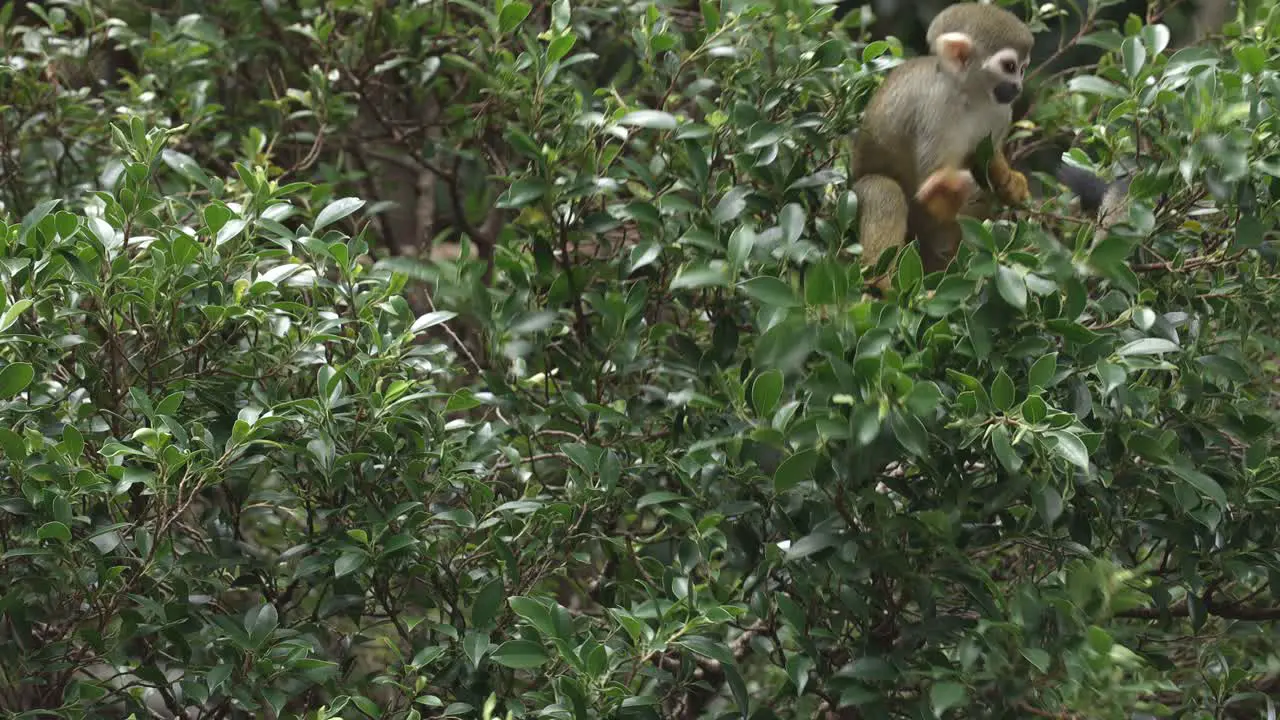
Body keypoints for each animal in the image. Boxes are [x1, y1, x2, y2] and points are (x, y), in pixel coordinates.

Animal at [855, 3, 1034, 288]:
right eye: (1009, 66)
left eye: (1023, 69)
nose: (1017, 86)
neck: (970, 96)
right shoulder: (936, 109)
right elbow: (930, 191)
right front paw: (949, 190)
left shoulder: (999, 111)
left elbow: (984, 158)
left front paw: (1009, 181)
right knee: (883, 190)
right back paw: (882, 285)